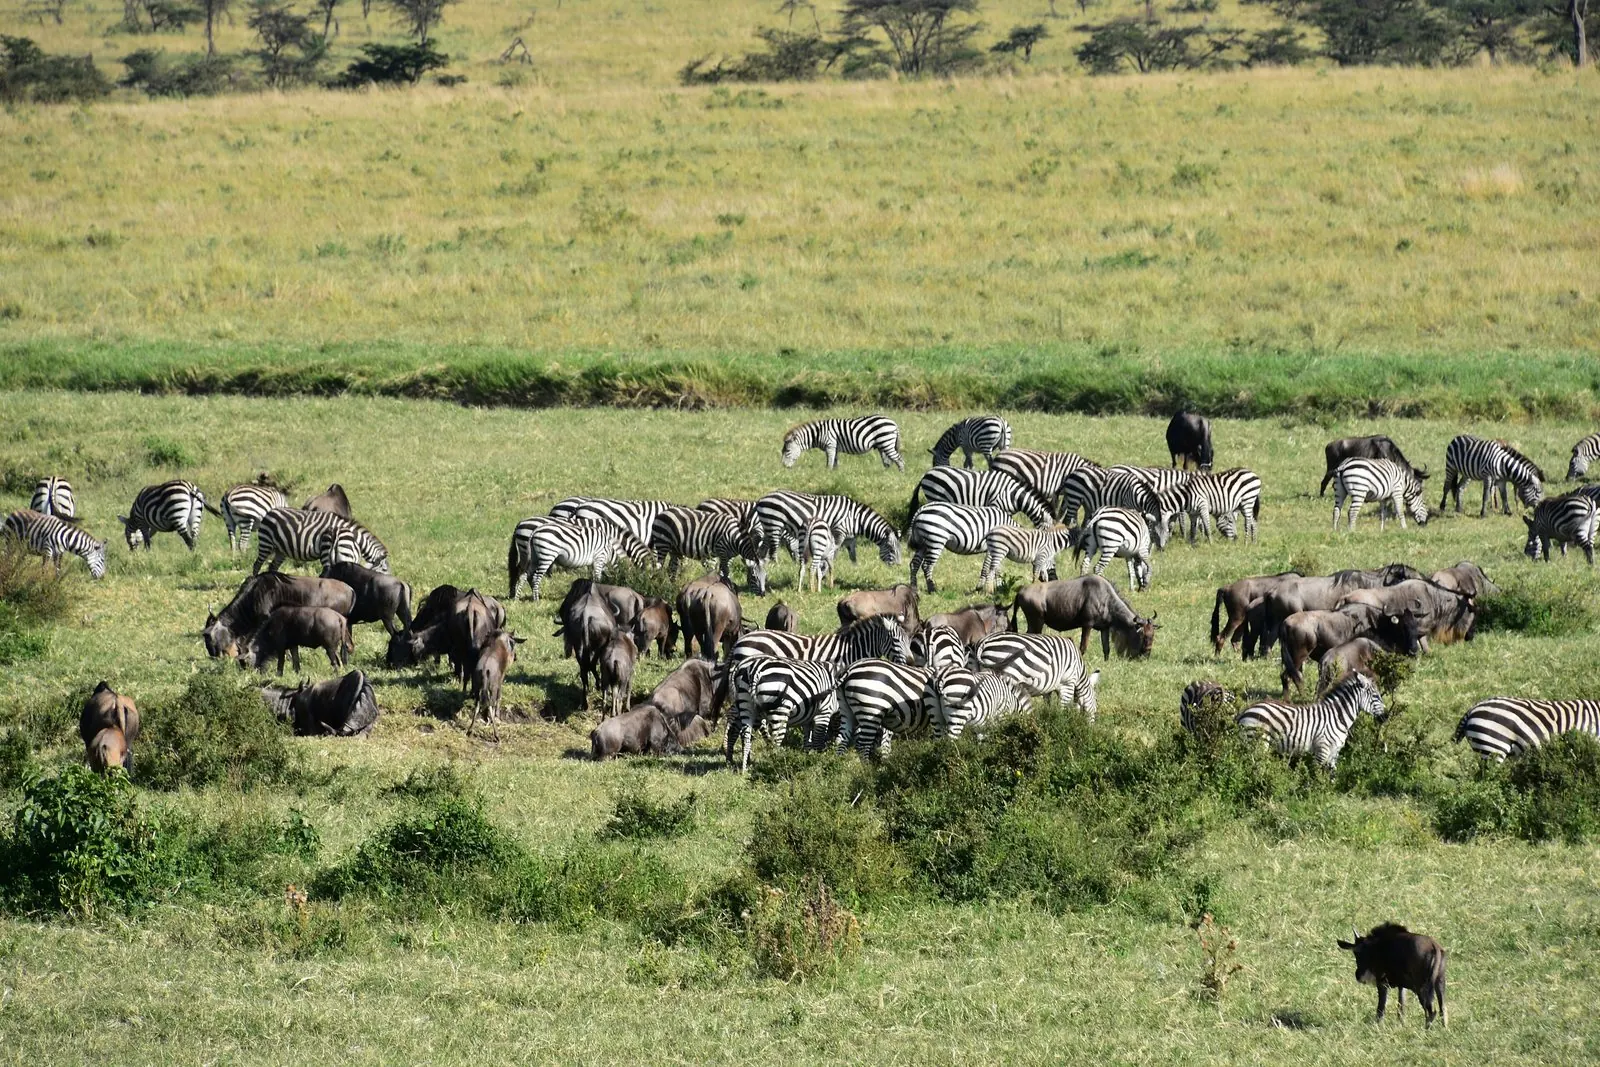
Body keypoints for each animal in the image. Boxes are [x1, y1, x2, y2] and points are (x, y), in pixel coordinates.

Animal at [254, 508, 389, 576]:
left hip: (281, 550)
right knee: (257, 564)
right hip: (266, 542)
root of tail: (271, 511)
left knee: (273, 566)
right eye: (385, 570)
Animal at [507, 516, 653, 600]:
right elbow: (598, 577)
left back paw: (517, 597)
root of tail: (520, 523)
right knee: (529, 575)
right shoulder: (598, 556)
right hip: (538, 554)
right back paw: (532, 598)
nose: (646, 589)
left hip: (531, 556)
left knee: (523, 574)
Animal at [753, 491, 900, 566]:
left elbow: (852, 554)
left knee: (763, 548)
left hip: (768, 526)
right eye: (891, 549)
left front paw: (855, 568)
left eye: (900, 550)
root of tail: (762, 498)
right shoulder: (839, 531)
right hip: (774, 525)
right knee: (773, 549)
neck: (855, 518)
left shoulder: (850, 538)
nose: (898, 566)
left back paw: (764, 564)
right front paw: (830, 565)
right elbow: (835, 550)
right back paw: (776, 565)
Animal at [971, 631, 1100, 720]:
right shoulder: (1067, 683)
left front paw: (1048, 717)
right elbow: (1063, 707)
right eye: (1096, 703)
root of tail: (984, 641)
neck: (1079, 672)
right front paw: (1063, 721)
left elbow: (1048, 704)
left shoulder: (1048, 687)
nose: (1090, 729)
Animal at [1235, 673, 1385, 770]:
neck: (1338, 716)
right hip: (1257, 742)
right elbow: (1316, 774)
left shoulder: (1334, 752)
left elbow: (1331, 775)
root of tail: (1245, 710)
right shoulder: (1322, 748)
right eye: (1376, 696)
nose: (1385, 717)